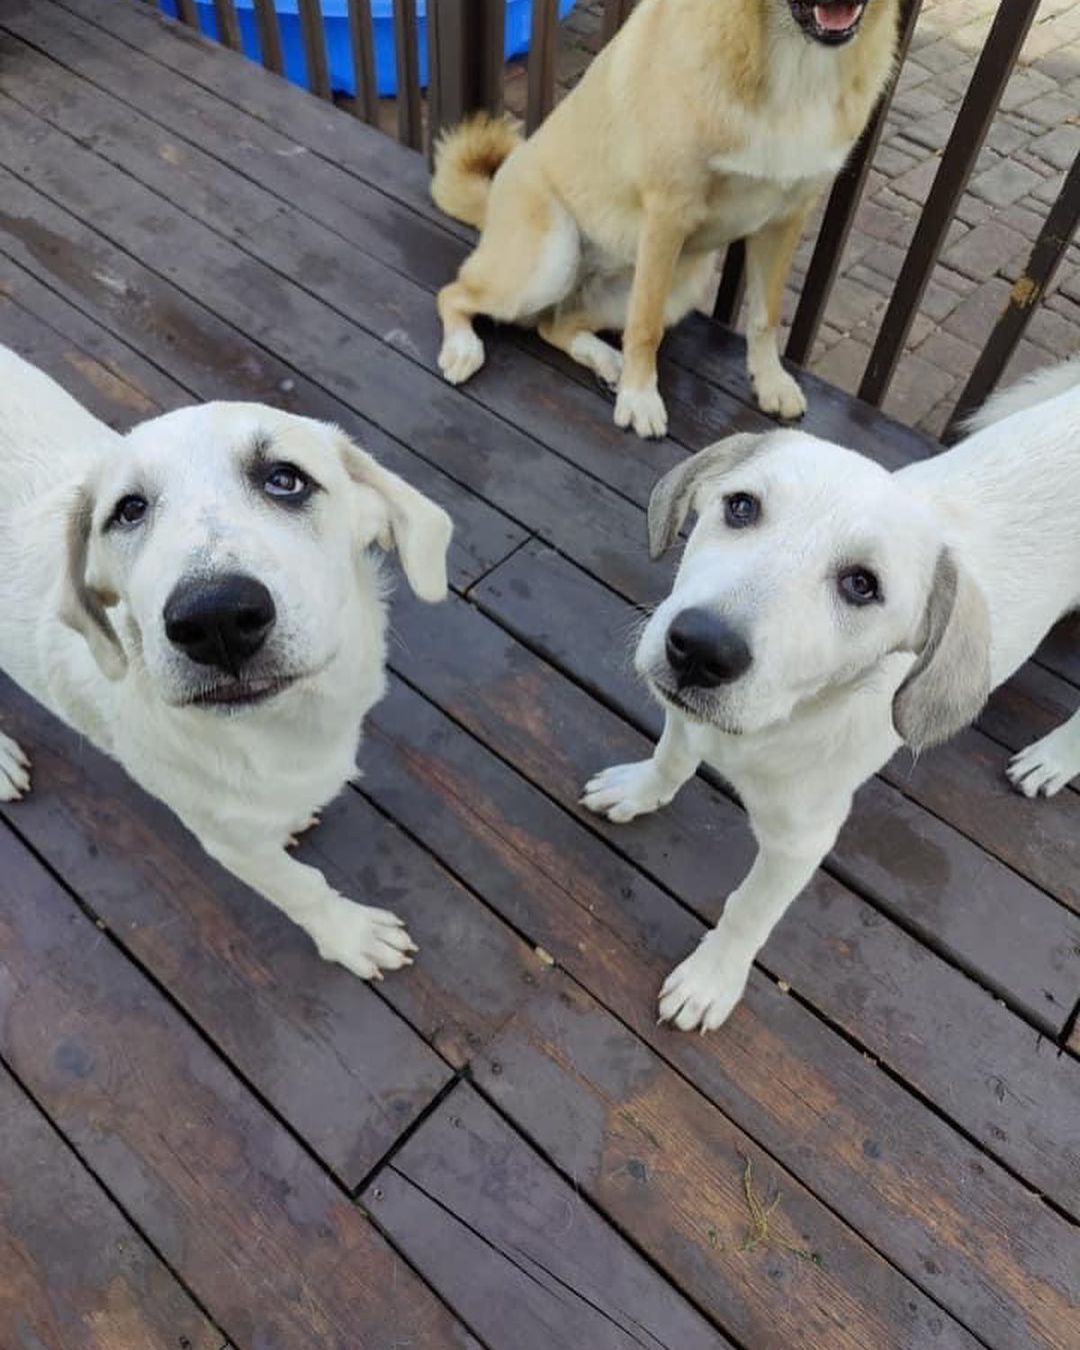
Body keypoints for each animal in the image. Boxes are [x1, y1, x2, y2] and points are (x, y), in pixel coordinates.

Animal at [0, 348, 453, 982]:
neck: (277, 729)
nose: (215, 619)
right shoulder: (229, 842)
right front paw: (352, 935)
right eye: (128, 511)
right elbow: (302, 888)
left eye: (285, 479)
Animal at [429, 0, 896, 437]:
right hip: (547, 263)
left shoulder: (787, 218)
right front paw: (640, 398)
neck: (795, 60)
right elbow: (646, 326)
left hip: (679, 285)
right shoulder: (669, 213)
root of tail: (492, 199)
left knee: (554, 325)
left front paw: (770, 382)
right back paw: (464, 348)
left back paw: (606, 359)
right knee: (452, 293)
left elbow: (766, 316)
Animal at [585, 356, 1080, 1031]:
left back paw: (1053, 758)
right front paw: (640, 790)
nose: (701, 650)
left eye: (862, 586)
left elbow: (747, 912)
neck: (777, 724)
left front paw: (711, 980)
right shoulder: (687, 719)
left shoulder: (802, 841)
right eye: (741, 507)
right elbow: (670, 758)